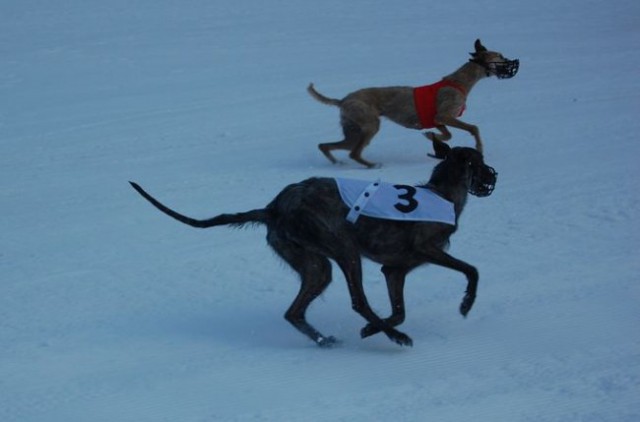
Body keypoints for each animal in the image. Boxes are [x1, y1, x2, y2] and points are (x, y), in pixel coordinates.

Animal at [130, 145, 498, 346]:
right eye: (479, 161)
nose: (494, 176)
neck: (443, 193)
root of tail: (274, 207)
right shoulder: (426, 250)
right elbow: (473, 270)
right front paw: (466, 304)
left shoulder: (394, 270)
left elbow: (399, 311)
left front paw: (371, 330)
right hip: (346, 250)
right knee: (358, 301)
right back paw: (395, 338)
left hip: (314, 264)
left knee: (294, 311)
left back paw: (327, 339)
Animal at [308, 39, 516, 168]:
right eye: (499, 55)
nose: (510, 62)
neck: (459, 82)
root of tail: (343, 100)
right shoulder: (444, 115)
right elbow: (473, 128)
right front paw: (479, 148)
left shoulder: (438, 120)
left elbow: (446, 135)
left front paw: (431, 136)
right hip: (369, 126)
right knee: (354, 153)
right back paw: (372, 165)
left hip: (353, 131)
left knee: (326, 146)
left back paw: (337, 162)